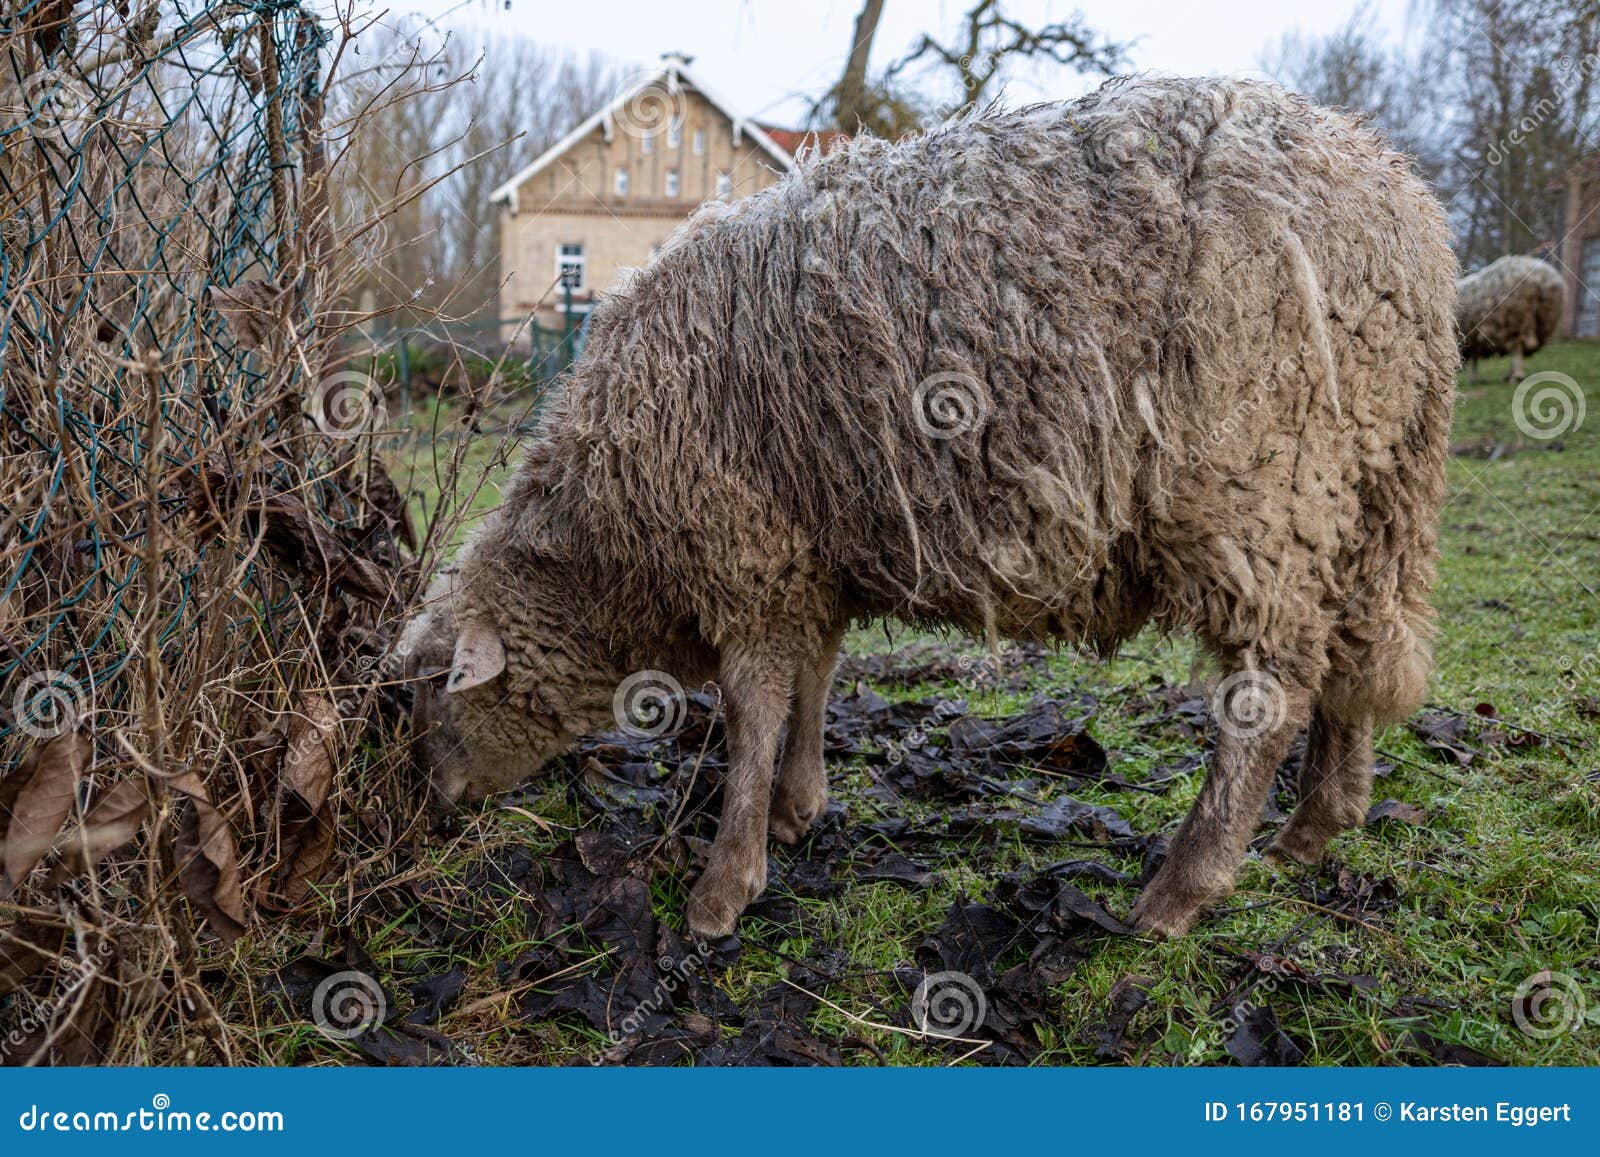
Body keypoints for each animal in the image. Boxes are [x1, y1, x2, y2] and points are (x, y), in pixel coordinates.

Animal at [402, 76, 1457, 941]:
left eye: (434, 693)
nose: (435, 801)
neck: (607, 540)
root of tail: (1407, 218)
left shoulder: (746, 550)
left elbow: (752, 708)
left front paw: (724, 885)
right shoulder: (808, 553)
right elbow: (815, 676)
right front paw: (798, 806)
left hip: (1258, 491)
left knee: (1270, 693)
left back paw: (1180, 892)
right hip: (1368, 488)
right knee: (1362, 650)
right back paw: (1316, 826)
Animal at [1455, 254, 1564, 383]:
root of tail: (1540, 280)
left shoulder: (1472, 335)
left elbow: (1474, 357)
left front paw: (1473, 378)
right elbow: (1475, 356)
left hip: (1516, 317)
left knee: (1517, 347)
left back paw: (1515, 376)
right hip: (1543, 318)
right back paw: (1511, 375)